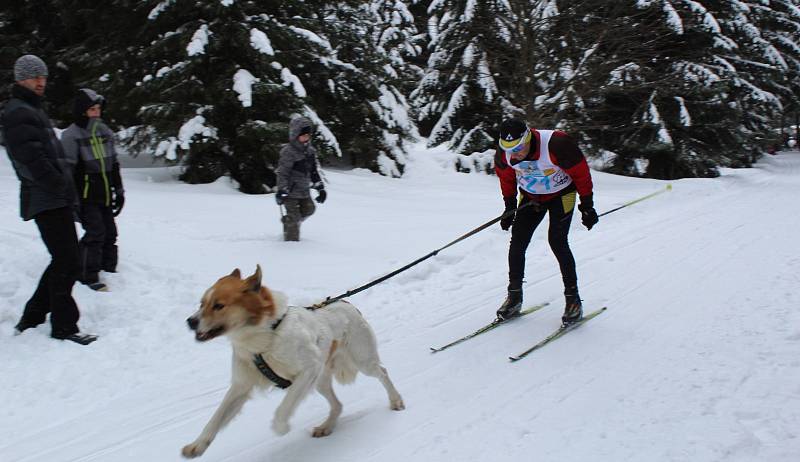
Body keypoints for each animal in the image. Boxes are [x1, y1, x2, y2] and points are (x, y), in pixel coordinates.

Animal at [182, 266, 406, 456]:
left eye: (218, 305)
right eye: (201, 303)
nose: (190, 322)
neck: (267, 334)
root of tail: (346, 303)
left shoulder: (308, 370)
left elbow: (284, 407)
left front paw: (281, 427)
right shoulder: (241, 386)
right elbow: (215, 419)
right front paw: (197, 445)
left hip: (361, 361)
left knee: (382, 373)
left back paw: (396, 400)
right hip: (320, 381)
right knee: (338, 405)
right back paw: (326, 426)